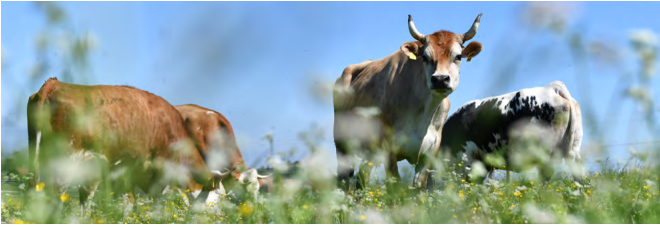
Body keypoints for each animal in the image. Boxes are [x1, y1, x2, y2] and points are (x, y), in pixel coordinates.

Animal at [27, 77, 228, 218]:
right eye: (218, 198)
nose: (223, 217)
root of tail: (54, 83)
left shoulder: (123, 173)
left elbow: (127, 203)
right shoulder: (160, 172)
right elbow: (155, 202)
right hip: (67, 159)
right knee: (57, 195)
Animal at [336, 13, 484, 191]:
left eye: (458, 56)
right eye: (425, 57)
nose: (440, 79)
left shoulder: (429, 153)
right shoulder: (389, 150)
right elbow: (396, 187)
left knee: (362, 178)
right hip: (342, 145)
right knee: (344, 179)